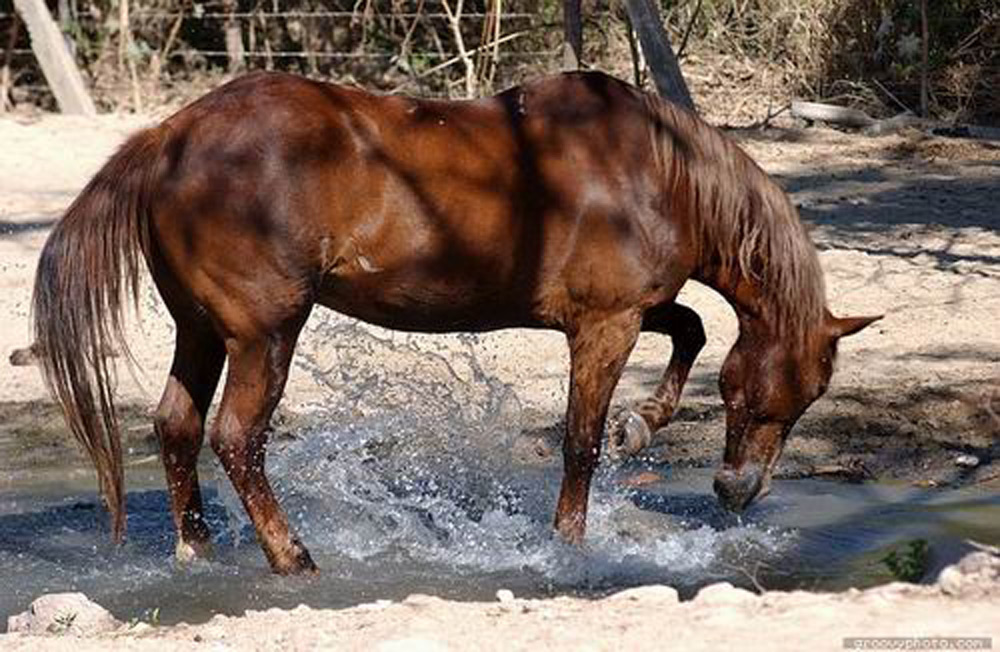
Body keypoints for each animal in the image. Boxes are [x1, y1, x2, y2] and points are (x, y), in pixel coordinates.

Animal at [32, 70, 879, 575]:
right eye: (780, 397)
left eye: (806, 400)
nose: (738, 492)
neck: (650, 171)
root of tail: (166, 139)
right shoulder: (604, 324)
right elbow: (578, 444)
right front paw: (570, 544)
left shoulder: (634, 308)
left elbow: (694, 330)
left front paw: (643, 423)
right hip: (262, 337)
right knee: (237, 438)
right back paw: (292, 556)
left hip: (202, 332)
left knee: (176, 427)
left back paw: (198, 551)